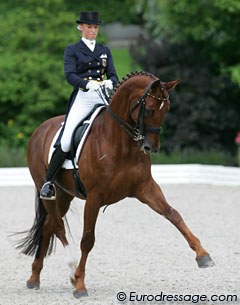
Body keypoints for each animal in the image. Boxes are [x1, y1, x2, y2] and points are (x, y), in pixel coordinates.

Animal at [17, 70, 215, 296]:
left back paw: (34, 278)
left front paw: (203, 255)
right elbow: (88, 240)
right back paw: (70, 269)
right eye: (149, 109)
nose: (151, 147)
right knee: (57, 226)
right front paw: (81, 285)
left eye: (167, 109)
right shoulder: (94, 198)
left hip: (65, 195)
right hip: (48, 191)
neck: (120, 143)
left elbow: (173, 214)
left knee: (48, 226)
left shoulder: (146, 188)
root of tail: (40, 129)